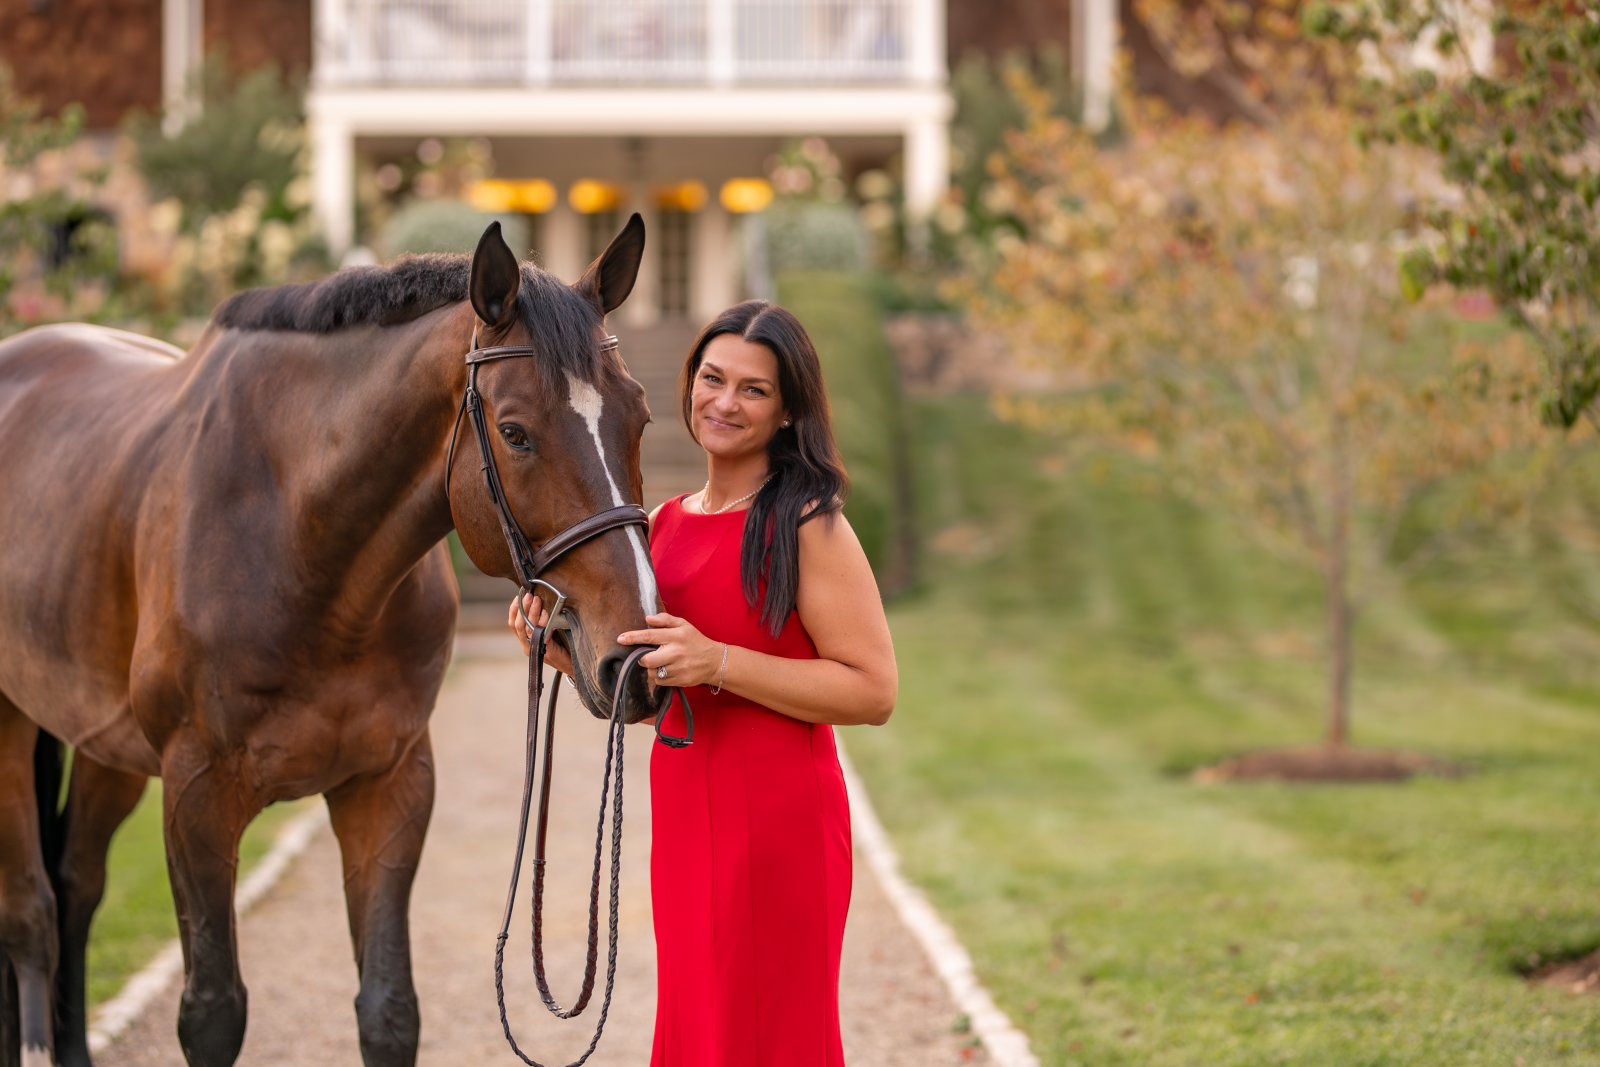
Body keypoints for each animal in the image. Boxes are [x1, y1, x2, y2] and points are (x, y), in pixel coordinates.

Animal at [0, 215, 663, 1067]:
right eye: (516, 432)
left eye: (639, 416)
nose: (631, 654)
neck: (301, 544)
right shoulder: (195, 794)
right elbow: (211, 1012)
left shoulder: (390, 784)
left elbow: (389, 1011)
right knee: (32, 915)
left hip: (102, 742)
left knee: (78, 885)